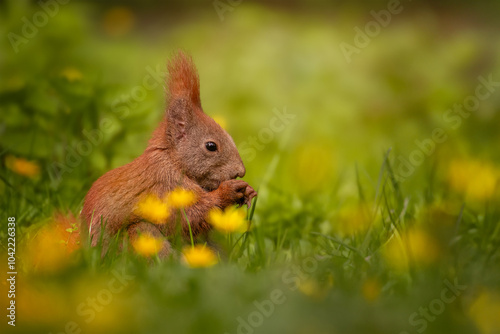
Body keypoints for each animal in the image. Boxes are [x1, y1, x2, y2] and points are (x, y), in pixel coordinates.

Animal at [81, 51, 258, 256]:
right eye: (211, 146)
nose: (240, 171)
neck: (172, 161)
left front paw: (249, 191)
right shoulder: (165, 187)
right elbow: (187, 218)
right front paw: (229, 191)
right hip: (138, 235)